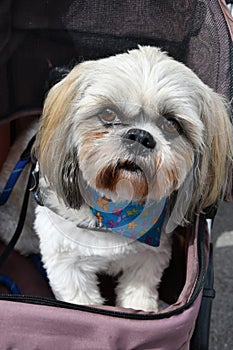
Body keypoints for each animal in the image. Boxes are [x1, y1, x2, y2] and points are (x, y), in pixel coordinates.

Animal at [0, 47, 233, 312]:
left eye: (172, 123)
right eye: (108, 113)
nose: (140, 136)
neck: (116, 211)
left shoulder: (148, 258)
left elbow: (139, 292)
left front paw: (142, 310)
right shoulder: (67, 262)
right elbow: (80, 300)